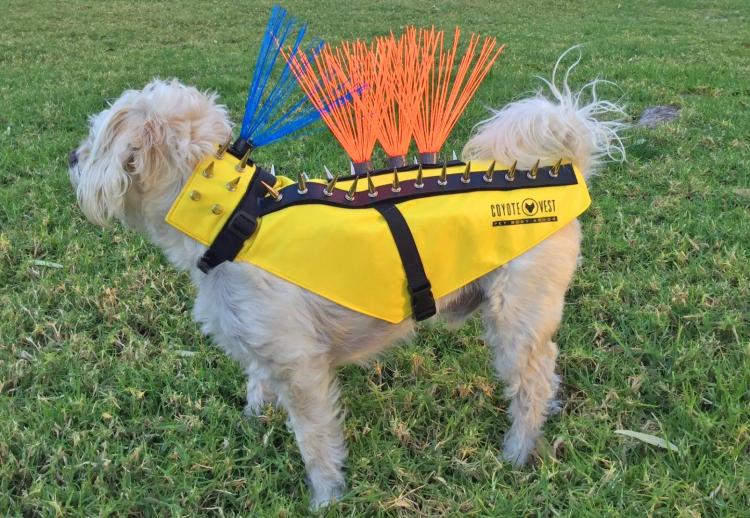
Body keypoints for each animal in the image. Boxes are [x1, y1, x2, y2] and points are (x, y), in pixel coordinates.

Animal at [70, 63, 624, 510]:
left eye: (96, 139)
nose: (73, 158)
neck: (234, 217)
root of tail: (565, 169)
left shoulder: (301, 368)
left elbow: (315, 440)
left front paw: (326, 497)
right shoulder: (263, 344)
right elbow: (256, 383)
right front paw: (251, 424)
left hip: (515, 316)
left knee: (532, 381)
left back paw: (518, 451)